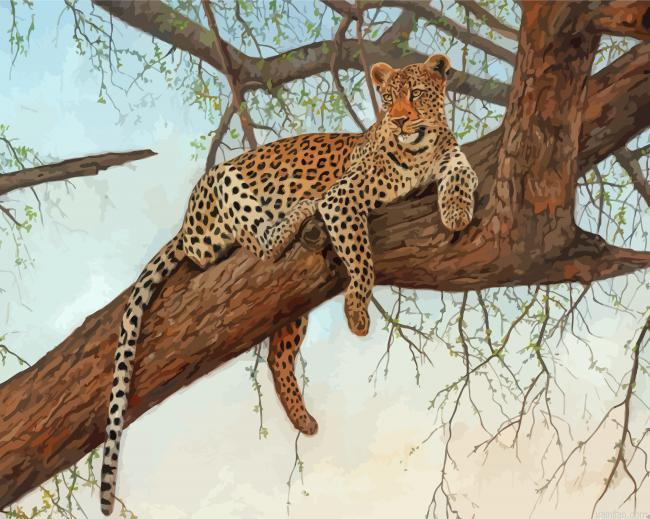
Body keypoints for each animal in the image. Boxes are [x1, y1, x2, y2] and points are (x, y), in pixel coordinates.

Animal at [100, 53, 478, 515]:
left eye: (417, 95)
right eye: (388, 99)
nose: (400, 120)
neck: (421, 150)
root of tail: (185, 221)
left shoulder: (451, 159)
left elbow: (463, 174)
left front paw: (457, 212)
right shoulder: (341, 199)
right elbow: (361, 255)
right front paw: (357, 310)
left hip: (288, 302)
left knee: (277, 355)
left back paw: (302, 419)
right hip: (224, 185)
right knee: (254, 244)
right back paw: (297, 211)